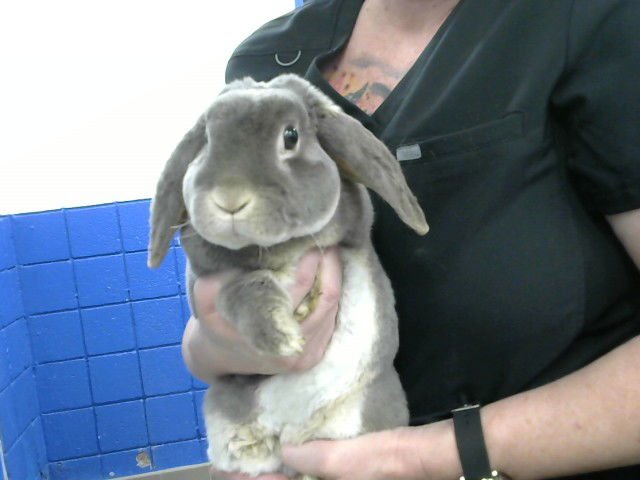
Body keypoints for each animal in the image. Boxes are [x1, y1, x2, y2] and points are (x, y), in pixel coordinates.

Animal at [148, 73, 428, 479]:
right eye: (207, 139)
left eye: (290, 136)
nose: (229, 199)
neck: (274, 247)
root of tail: (288, 437)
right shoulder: (210, 282)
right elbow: (242, 288)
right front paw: (283, 335)